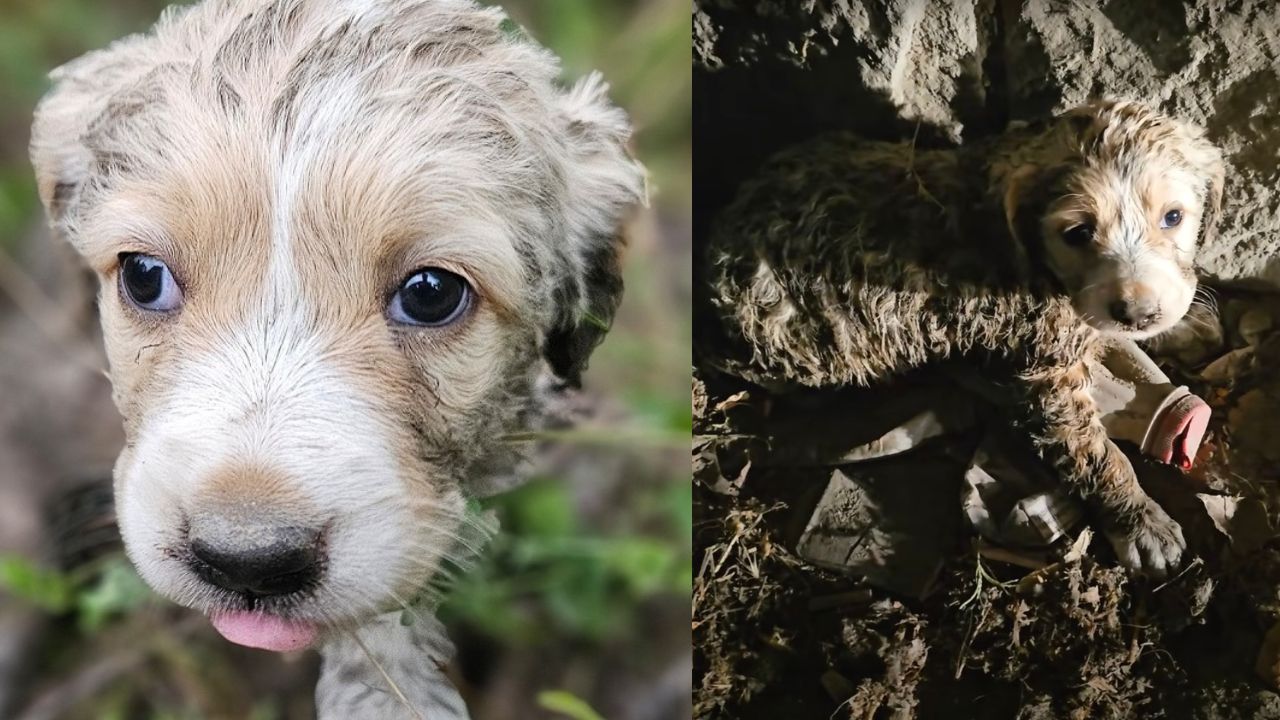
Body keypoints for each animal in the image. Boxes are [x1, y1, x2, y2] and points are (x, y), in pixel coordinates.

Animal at [706, 98, 1223, 573]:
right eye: (1078, 233)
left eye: (1173, 218)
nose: (1137, 312)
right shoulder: (1046, 372)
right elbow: (1095, 451)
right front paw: (1140, 520)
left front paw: (1184, 324)